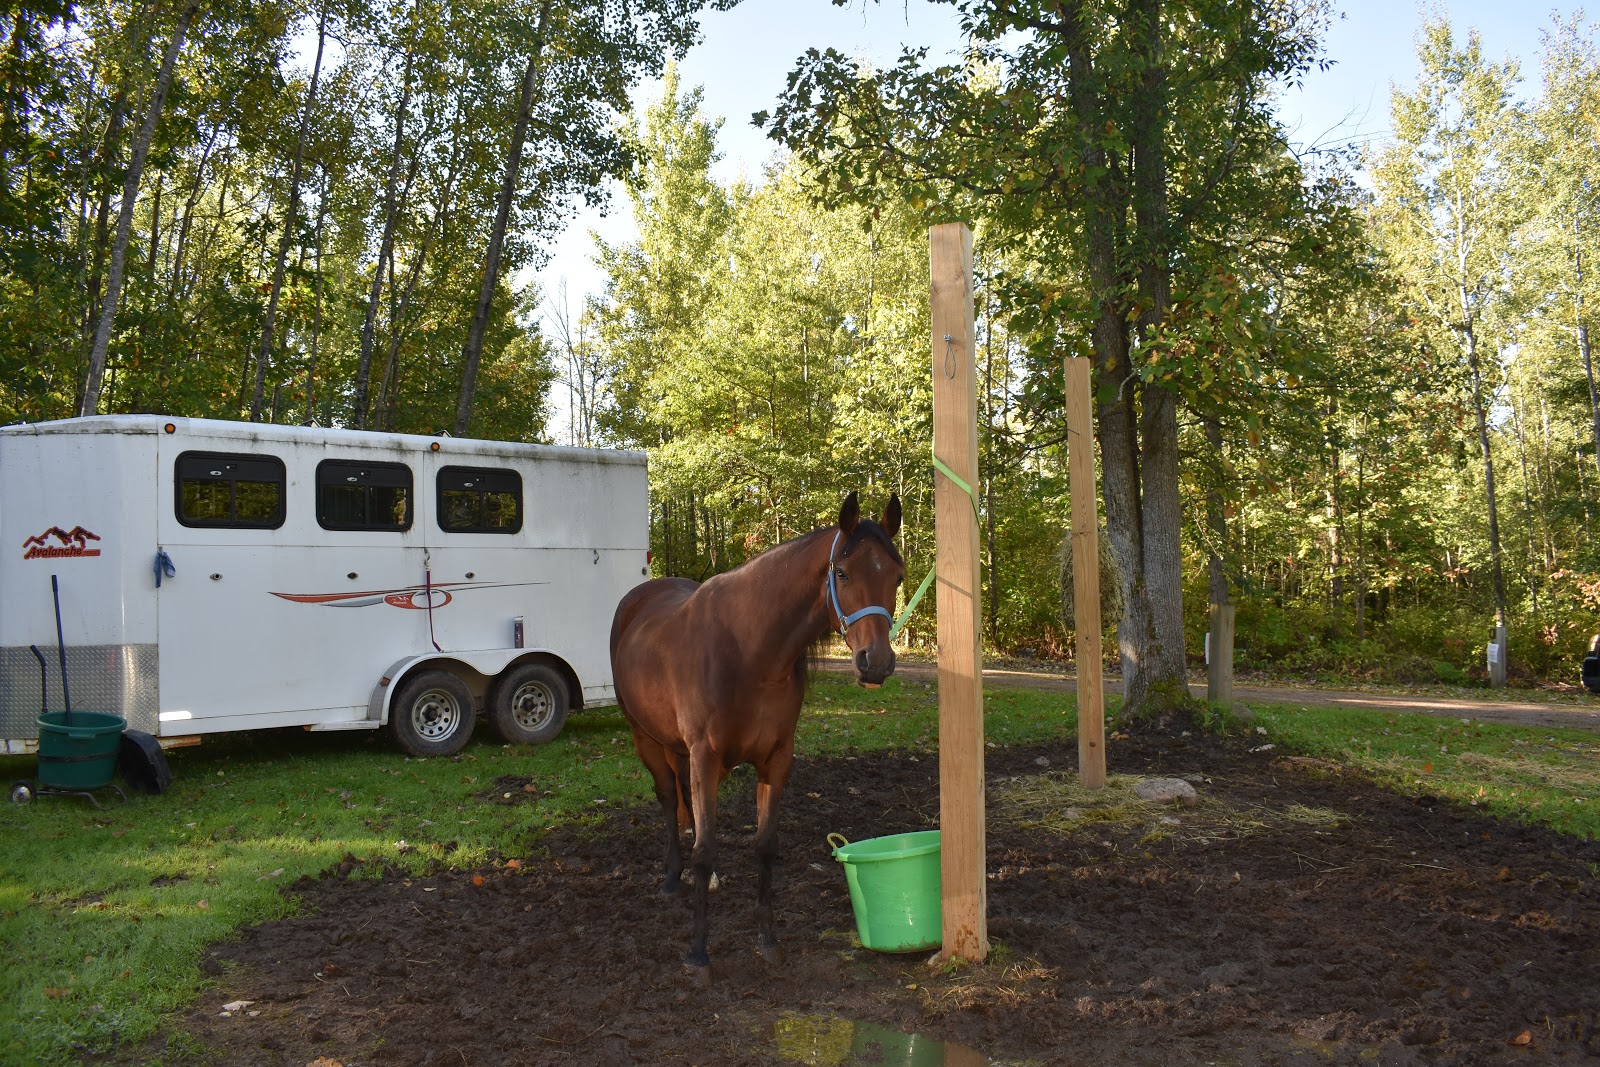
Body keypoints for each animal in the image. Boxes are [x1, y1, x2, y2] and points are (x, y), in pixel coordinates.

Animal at [609, 491, 905, 985]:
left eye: (898, 576)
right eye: (843, 573)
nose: (876, 662)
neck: (750, 653)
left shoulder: (775, 760)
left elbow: (764, 847)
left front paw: (767, 941)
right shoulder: (705, 758)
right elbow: (705, 849)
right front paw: (698, 956)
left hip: (678, 749)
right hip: (645, 739)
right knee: (669, 800)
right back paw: (671, 877)